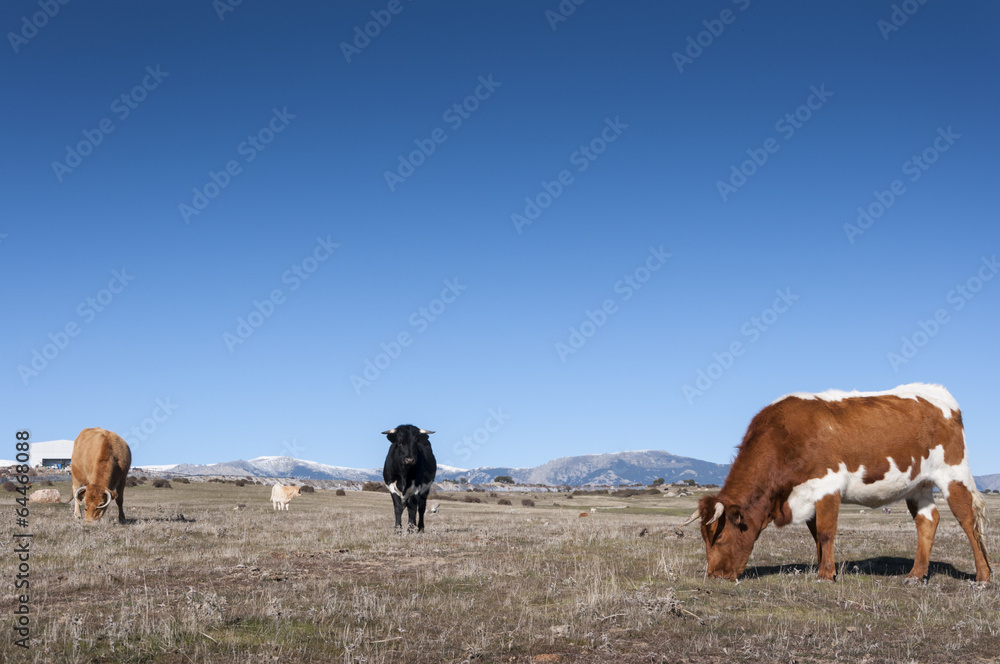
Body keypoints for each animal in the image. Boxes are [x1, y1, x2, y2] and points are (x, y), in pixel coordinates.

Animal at [684, 384, 988, 580]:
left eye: (721, 537)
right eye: (704, 539)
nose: (714, 575)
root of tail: (942, 397)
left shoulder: (827, 485)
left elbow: (827, 532)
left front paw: (826, 575)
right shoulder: (804, 496)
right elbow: (816, 534)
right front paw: (822, 567)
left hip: (953, 474)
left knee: (967, 520)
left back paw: (983, 576)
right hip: (918, 486)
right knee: (928, 521)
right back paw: (916, 574)